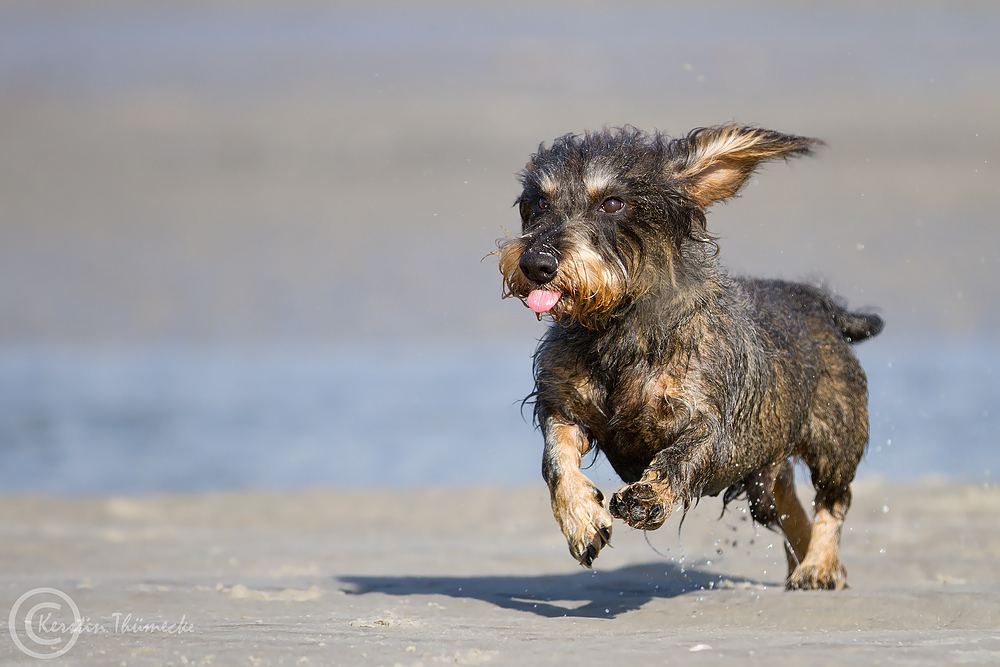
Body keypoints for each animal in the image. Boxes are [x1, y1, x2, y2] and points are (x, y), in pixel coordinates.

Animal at [498, 124, 884, 588]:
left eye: (612, 202)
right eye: (540, 201)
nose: (536, 263)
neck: (621, 331)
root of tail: (819, 303)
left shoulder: (710, 422)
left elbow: (678, 457)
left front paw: (648, 496)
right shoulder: (562, 404)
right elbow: (556, 460)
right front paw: (582, 520)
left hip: (834, 438)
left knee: (834, 500)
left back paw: (821, 566)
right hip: (764, 475)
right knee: (788, 506)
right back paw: (804, 565)